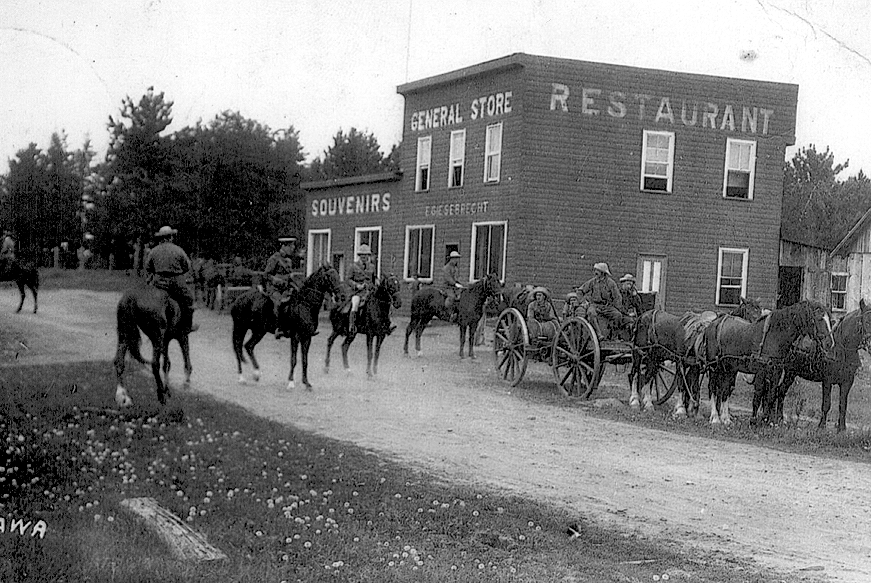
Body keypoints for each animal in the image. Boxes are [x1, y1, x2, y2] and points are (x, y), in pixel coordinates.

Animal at [700, 302, 832, 424]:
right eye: (819, 318)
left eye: (829, 319)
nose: (829, 343)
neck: (773, 337)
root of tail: (713, 324)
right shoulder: (760, 372)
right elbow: (758, 395)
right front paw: (753, 420)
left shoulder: (776, 371)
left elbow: (771, 395)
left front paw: (766, 420)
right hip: (714, 366)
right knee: (712, 388)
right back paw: (715, 418)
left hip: (728, 368)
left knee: (725, 389)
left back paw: (725, 418)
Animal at [748, 298, 871, 432]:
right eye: (866, 321)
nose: (870, 345)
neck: (841, 349)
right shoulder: (827, 380)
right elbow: (826, 404)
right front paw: (821, 426)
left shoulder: (847, 382)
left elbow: (842, 405)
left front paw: (841, 429)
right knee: (774, 392)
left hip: (790, 374)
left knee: (780, 392)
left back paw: (778, 419)